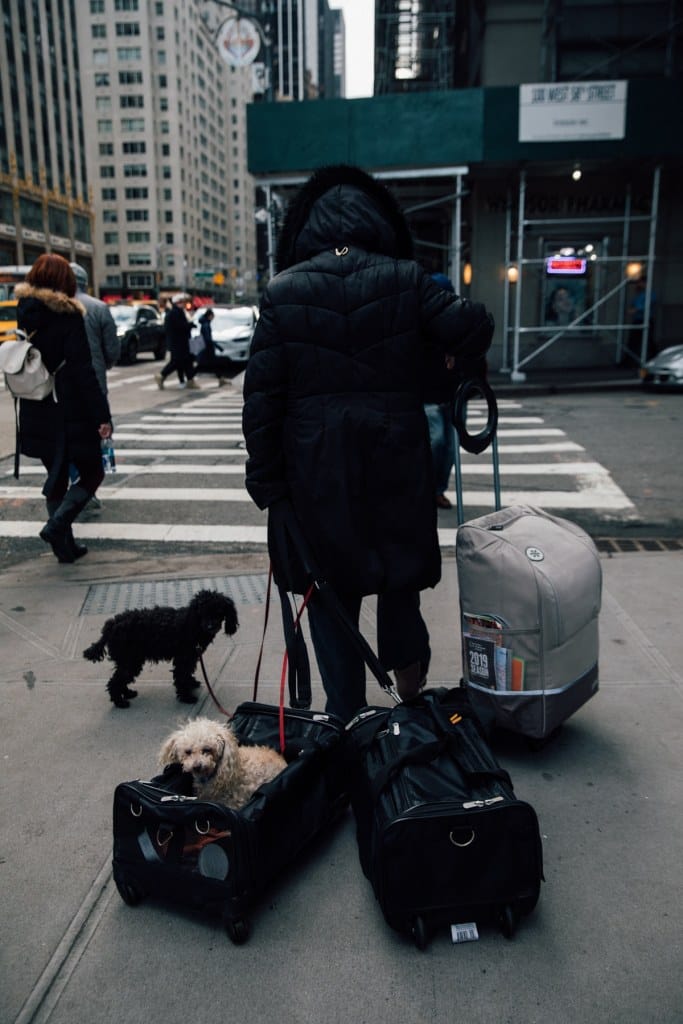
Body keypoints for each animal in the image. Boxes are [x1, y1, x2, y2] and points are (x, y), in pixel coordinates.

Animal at [82, 589, 239, 708]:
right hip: (130, 660)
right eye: (202, 612)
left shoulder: (191, 657)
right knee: (115, 681)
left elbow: (187, 674)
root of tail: (111, 625)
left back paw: (127, 693)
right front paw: (186, 697)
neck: (193, 624)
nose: (210, 626)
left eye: (218, 611)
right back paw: (120, 702)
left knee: (120, 678)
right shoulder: (183, 658)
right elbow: (181, 676)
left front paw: (191, 683)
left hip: (129, 660)